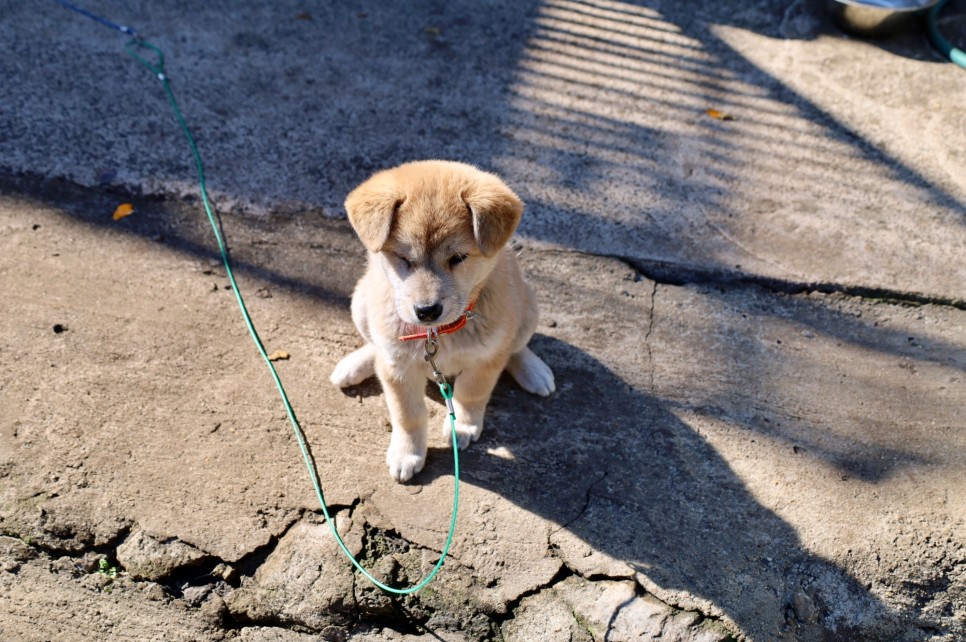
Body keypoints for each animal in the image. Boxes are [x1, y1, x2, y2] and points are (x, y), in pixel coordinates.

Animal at [332, 160, 556, 480]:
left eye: (458, 257)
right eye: (403, 258)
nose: (426, 310)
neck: (438, 333)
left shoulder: (486, 360)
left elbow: (471, 393)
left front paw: (462, 426)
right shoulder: (399, 369)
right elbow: (408, 415)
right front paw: (408, 453)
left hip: (528, 309)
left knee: (516, 347)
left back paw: (534, 371)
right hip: (361, 302)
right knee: (374, 345)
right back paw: (355, 364)